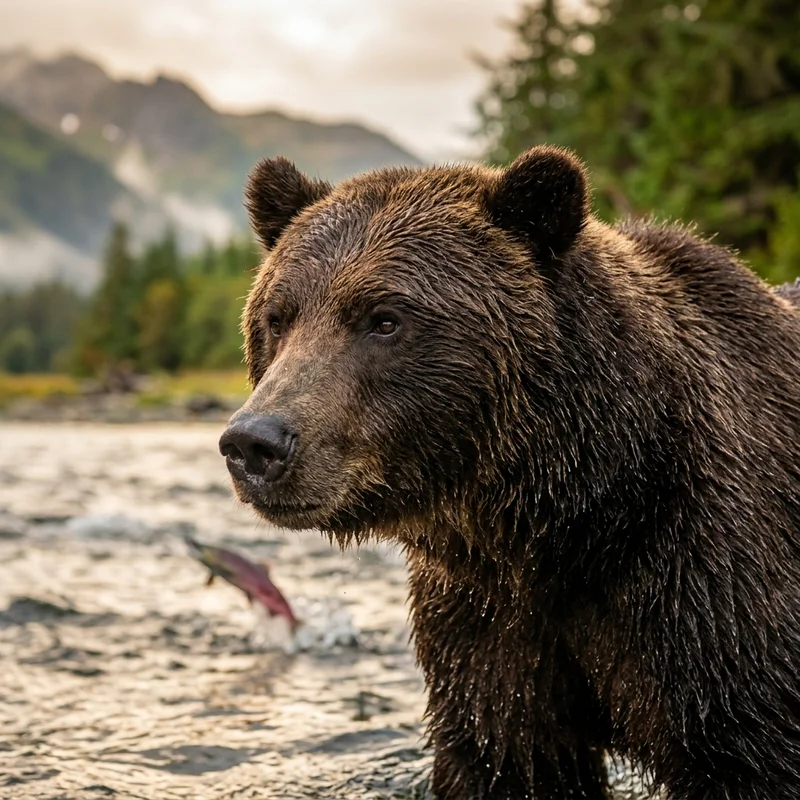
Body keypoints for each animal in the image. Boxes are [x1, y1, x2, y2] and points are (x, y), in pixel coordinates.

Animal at [219, 147, 800, 800]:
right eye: (278, 317)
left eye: (383, 318)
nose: (255, 443)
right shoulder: (490, 629)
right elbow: (508, 756)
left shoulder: (702, 590)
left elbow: (746, 751)